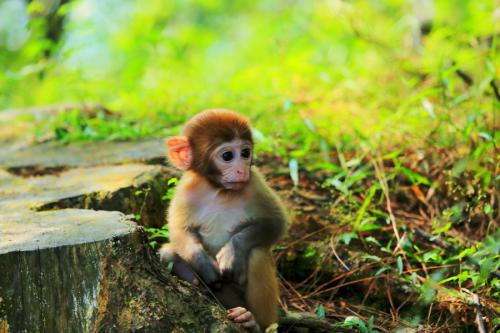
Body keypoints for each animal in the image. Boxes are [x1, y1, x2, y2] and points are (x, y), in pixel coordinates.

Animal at [158, 108, 288, 330]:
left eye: (245, 153)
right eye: (227, 156)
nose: (242, 169)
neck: (218, 189)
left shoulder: (254, 183)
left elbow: (275, 222)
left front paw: (232, 251)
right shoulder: (186, 189)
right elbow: (178, 229)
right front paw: (203, 263)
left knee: (257, 254)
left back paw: (252, 321)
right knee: (167, 253)